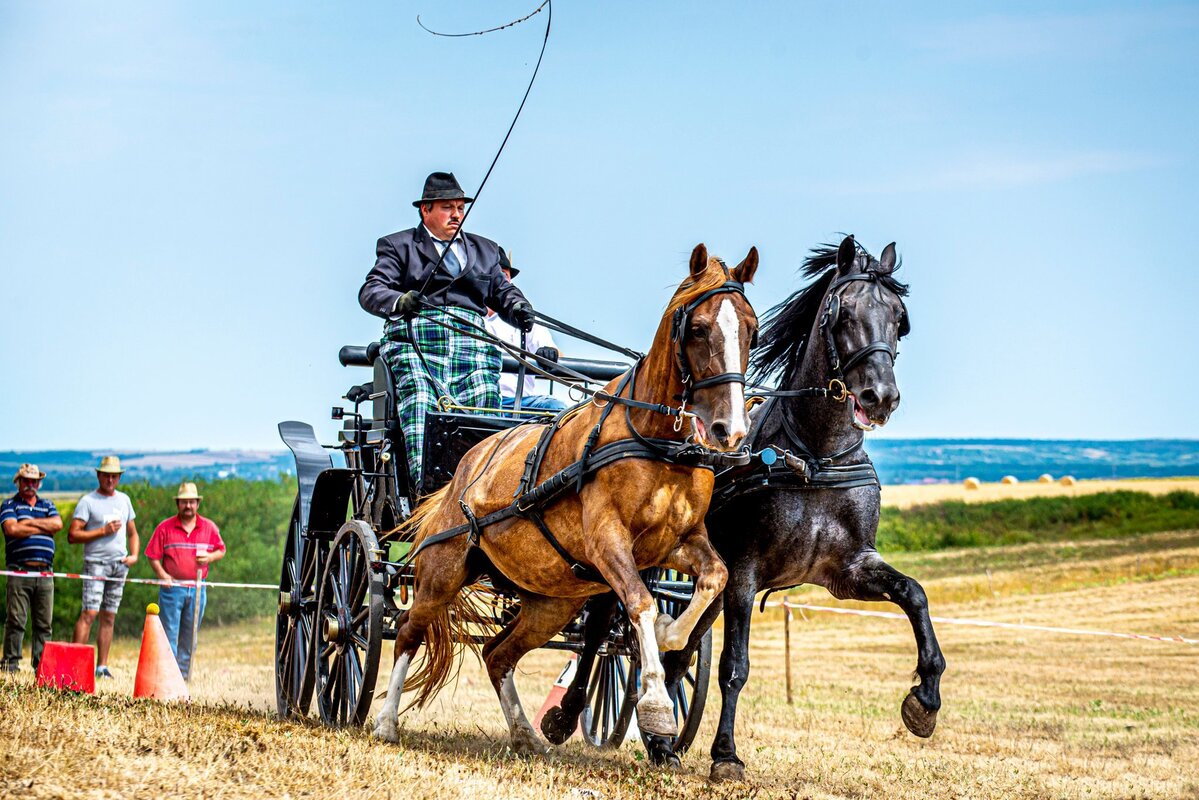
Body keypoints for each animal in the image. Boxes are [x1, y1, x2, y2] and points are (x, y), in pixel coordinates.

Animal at [371, 245, 761, 756]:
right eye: (697, 328)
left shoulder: (677, 541)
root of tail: (465, 466)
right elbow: (641, 603)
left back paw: (525, 734)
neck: (655, 441)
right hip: (443, 571)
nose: (729, 430)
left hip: (551, 601)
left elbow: (714, 578)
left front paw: (668, 636)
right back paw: (385, 723)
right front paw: (657, 705)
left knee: (498, 654)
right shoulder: (607, 541)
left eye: (752, 329)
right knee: (407, 634)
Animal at [542, 235, 946, 781]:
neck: (814, 456)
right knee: (603, 626)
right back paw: (569, 714)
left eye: (899, 318)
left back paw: (661, 735)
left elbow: (914, 595)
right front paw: (726, 755)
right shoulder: (745, 571)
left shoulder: (847, 570)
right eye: (843, 313)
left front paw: (925, 698)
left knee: (675, 650)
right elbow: (734, 667)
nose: (880, 396)